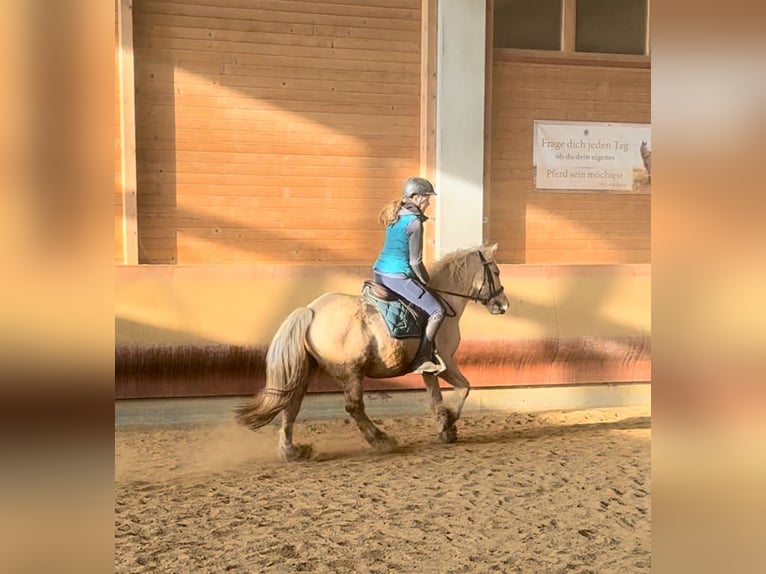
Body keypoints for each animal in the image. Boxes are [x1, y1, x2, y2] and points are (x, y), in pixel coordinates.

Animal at [234, 245, 510, 462]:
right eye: (496, 272)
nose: (503, 305)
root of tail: (310, 310)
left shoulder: (428, 369)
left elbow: (435, 397)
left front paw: (445, 426)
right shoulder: (447, 361)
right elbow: (465, 387)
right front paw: (449, 421)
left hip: (307, 371)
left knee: (292, 405)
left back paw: (292, 451)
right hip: (351, 372)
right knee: (354, 407)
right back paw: (381, 440)